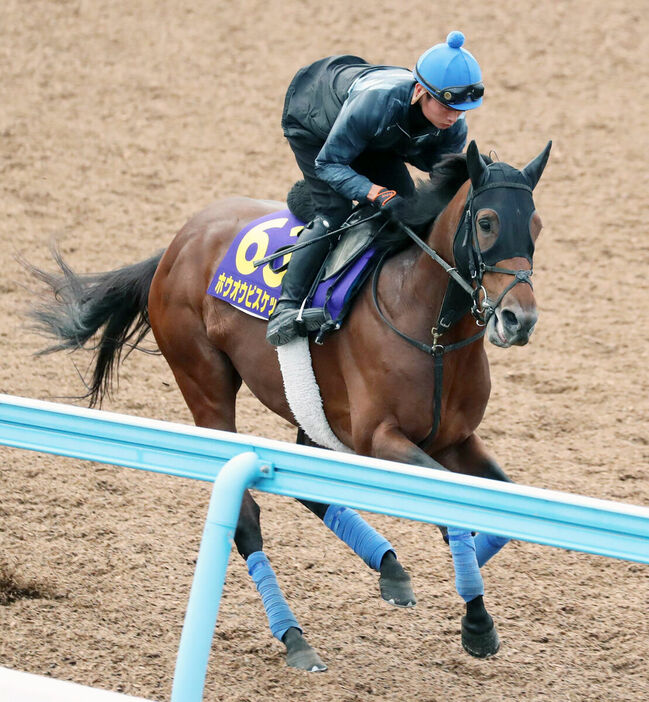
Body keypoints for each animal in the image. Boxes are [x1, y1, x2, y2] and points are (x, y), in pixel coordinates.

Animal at [26, 140, 552, 672]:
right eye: (486, 221)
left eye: (536, 225)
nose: (519, 320)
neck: (430, 328)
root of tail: (178, 242)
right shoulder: (379, 437)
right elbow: (450, 505)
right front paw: (475, 620)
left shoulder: (454, 439)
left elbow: (499, 504)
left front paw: (473, 592)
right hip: (205, 388)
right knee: (246, 517)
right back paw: (295, 638)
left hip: (313, 409)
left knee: (309, 483)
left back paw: (389, 569)